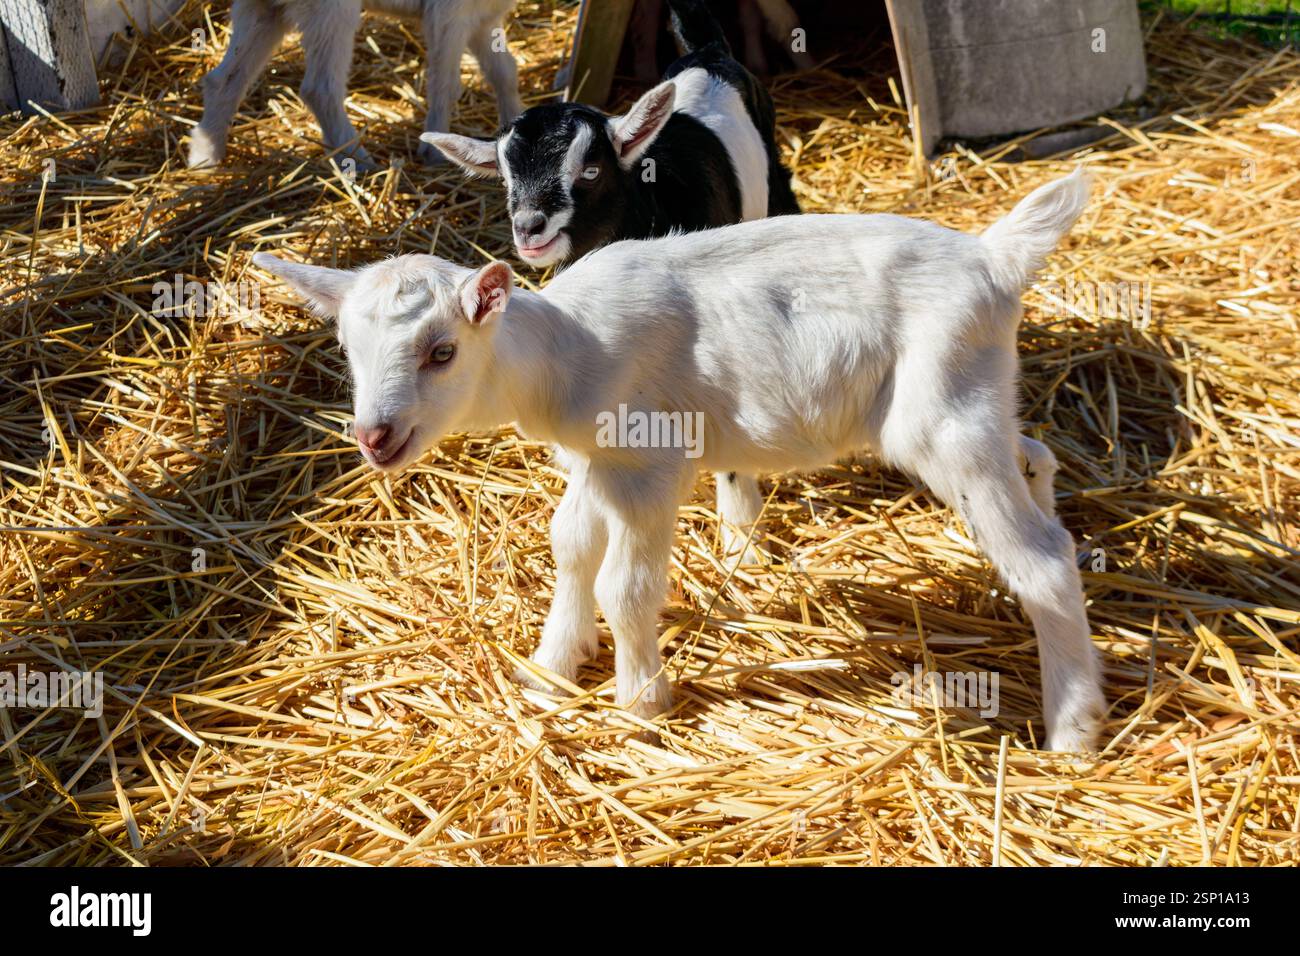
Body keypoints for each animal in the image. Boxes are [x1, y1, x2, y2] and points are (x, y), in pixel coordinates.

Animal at [188, 0, 523, 170]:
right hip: (329, 11)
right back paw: (358, 159)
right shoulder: (449, 16)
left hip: (262, 9)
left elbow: (504, 72)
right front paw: (435, 154)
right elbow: (445, 84)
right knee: (320, 88)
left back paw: (205, 158)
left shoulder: (484, 19)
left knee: (224, 80)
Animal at [254, 169, 1107, 753]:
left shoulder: (647, 466)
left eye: (442, 351)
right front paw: (552, 667)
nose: (375, 436)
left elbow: (624, 586)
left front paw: (641, 702)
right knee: (1034, 458)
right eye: (348, 349)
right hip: (977, 399)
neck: (564, 351)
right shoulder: (592, 462)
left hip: (943, 422)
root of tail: (996, 261)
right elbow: (570, 547)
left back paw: (1072, 730)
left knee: (1041, 558)